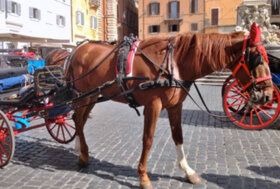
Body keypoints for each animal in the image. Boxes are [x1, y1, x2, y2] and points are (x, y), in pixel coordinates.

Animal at [59, 28, 274, 188]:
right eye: (257, 59)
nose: (268, 95)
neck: (175, 62)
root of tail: (77, 50)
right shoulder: (153, 105)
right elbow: (148, 140)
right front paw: (143, 177)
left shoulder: (175, 106)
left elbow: (178, 136)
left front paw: (188, 171)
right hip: (82, 94)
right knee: (77, 119)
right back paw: (83, 155)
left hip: (92, 95)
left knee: (80, 120)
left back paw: (80, 150)